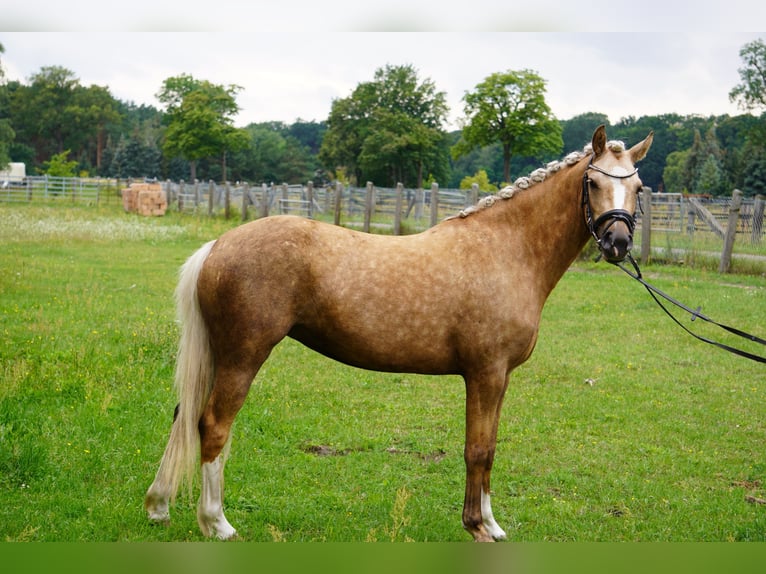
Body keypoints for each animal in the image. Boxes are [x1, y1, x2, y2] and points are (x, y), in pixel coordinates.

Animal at [146, 127, 656, 544]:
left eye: (637, 187)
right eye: (593, 183)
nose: (618, 243)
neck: (506, 249)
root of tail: (218, 245)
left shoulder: (493, 376)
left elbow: (486, 449)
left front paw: (487, 523)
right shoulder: (487, 373)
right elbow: (478, 450)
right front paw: (479, 526)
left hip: (220, 356)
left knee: (185, 417)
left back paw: (160, 506)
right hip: (243, 355)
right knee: (214, 425)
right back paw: (216, 523)